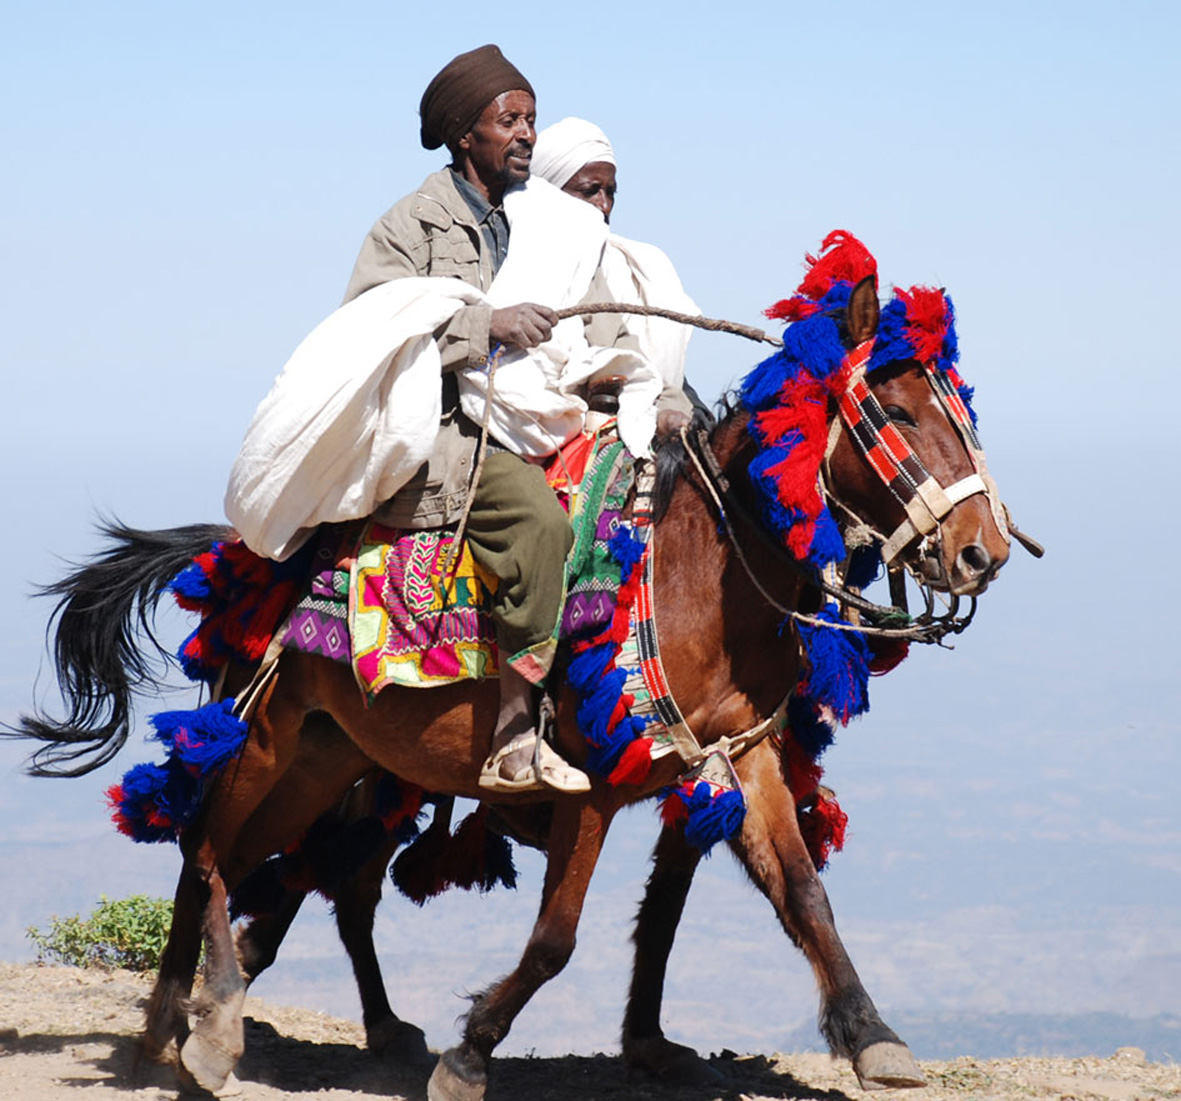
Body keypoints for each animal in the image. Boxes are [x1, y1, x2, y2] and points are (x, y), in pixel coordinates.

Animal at [9, 277, 1010, 1101]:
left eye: (960, 409)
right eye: (891, 408)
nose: (981, 551)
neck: (698, 568)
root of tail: (246, 548)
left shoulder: (742, 753)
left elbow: (800, 895)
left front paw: (871, 1036)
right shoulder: (594, 786)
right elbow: (558, 935)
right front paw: (471, 1052)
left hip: (332, 758)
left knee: (292, 870)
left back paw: (190, 1027)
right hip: (266, 735)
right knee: (209, 850)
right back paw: (205, 1029)